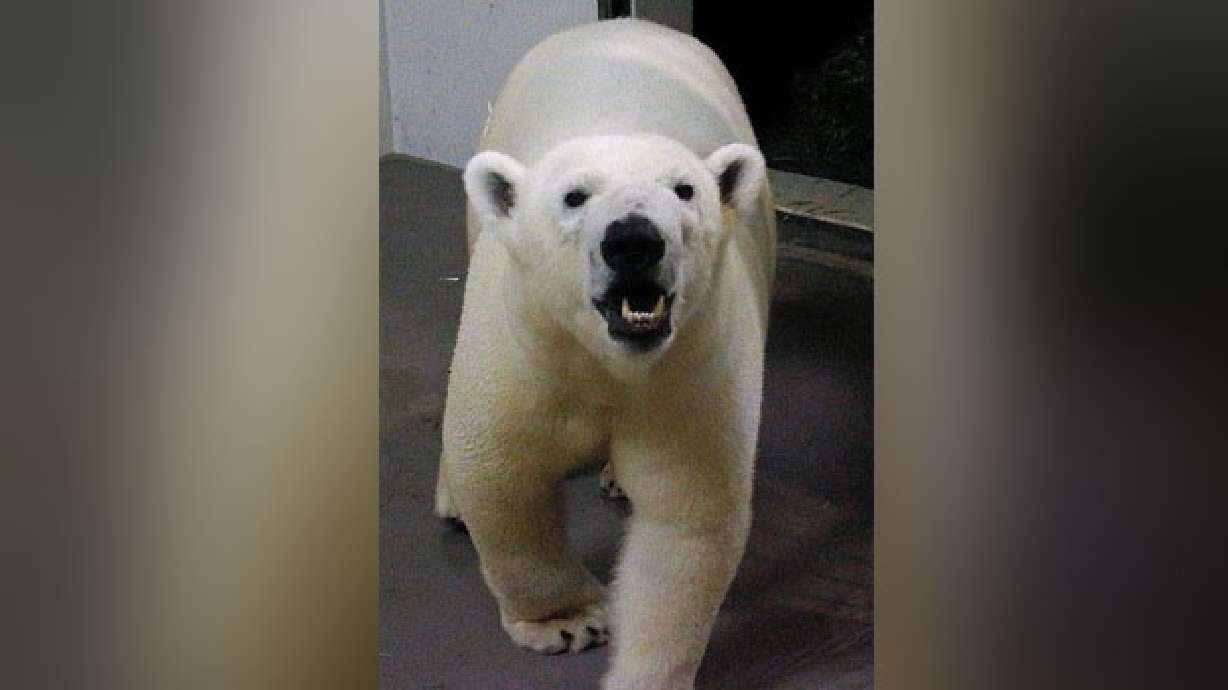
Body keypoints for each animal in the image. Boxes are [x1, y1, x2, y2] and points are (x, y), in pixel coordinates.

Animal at [435, 19, 775, 690]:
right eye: (574, 197)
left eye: (685, 189)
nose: (634, 240)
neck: (607, 359)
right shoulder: (525, 340)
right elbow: (500, 470)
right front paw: (567, 622)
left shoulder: (693, 365)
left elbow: (687, 516)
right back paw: (450, 502)